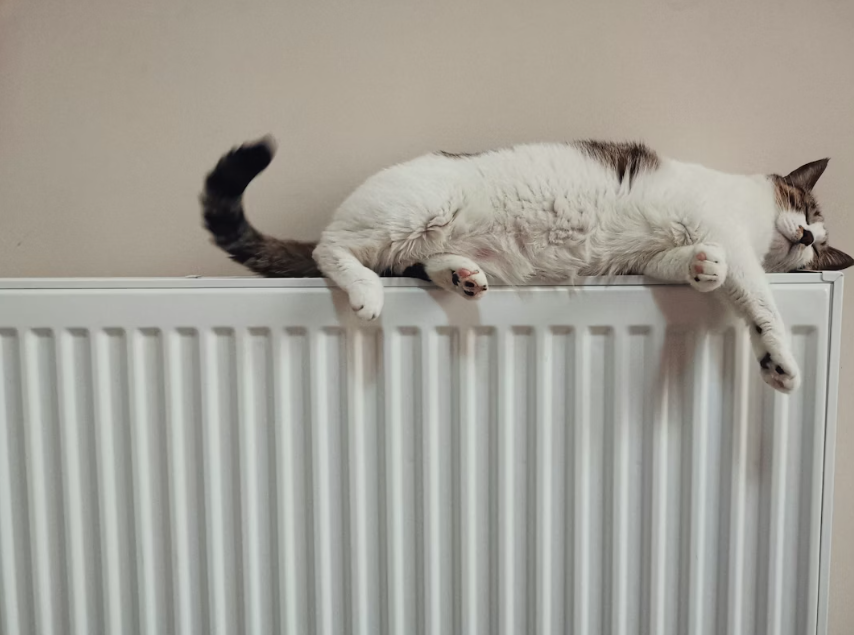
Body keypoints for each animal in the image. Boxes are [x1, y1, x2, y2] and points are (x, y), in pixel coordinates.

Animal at [201, 137, 853, 393]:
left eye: (818, 249)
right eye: (806, 211)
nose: (805, 236)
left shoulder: (655, 256)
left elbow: (692, 263)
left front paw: (702, 269)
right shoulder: (736, 242)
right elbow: (761, 301)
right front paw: (778, 361)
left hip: (419, 240)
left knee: (419, 262)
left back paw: (461, 275)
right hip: (413, 211)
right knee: (329, 249)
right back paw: (365, 290)